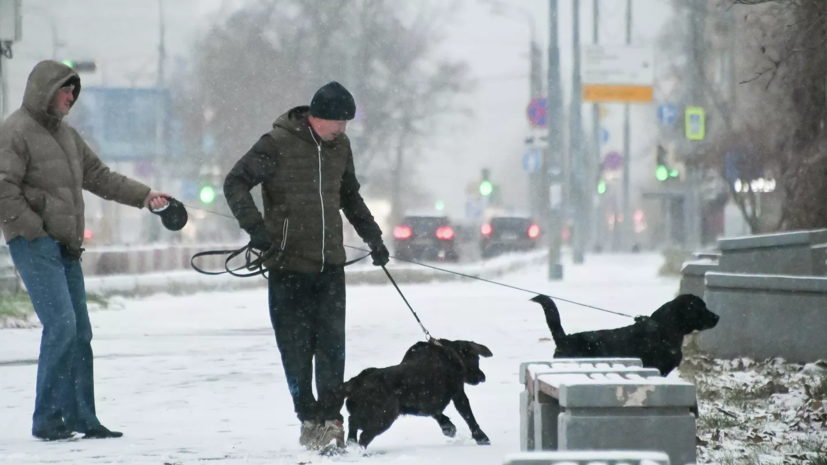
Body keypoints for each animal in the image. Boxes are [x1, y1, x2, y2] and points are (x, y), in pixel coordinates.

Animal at [314, 338, 488, 448]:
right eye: (476, 359)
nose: (483, 377)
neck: (448, 353)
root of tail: (357, 380)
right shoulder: (458, 394)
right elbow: (469, 417)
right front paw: (482, 437)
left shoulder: (425, 402)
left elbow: (436, 412)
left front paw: (448, 427)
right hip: (384, 417)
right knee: (363, 436)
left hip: (368, 414)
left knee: (352, 423)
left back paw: (351, 444)